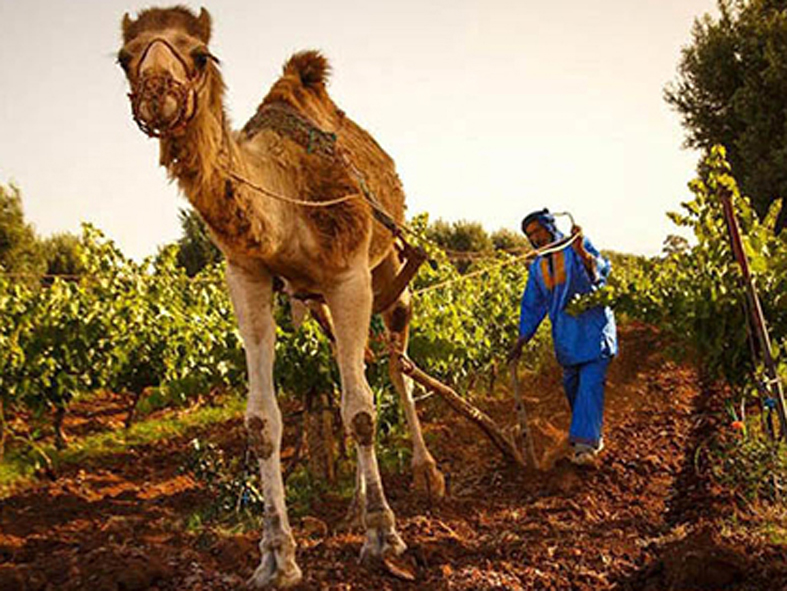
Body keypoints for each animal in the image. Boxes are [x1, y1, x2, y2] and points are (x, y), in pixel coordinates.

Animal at [120, 6, 446, 588]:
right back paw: (353, 504)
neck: (284, 194)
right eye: (123, 57)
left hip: (386, 262)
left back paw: (425, 473)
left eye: (200, 53)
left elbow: (361, 410)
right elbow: (263, 422)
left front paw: (384, 538)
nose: (158, 92)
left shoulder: (349, 274)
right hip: (316, 299)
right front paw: (276, 558)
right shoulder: (248, 276)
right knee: (349, 367)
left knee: (395, 363)